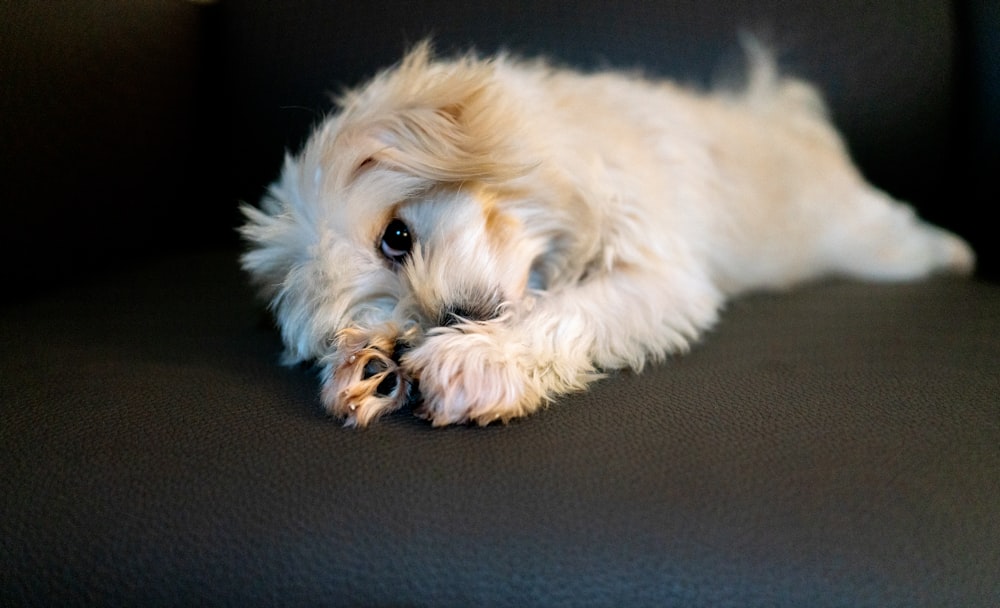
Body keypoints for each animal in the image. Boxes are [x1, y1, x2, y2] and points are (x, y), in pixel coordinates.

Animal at [238, 40, 972, 428]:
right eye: (387, 315)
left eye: (395, 236)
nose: (448, 319)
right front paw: (369, 365)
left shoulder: (656, 272)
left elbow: (566, 310)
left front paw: (476, 358)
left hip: (870, 240)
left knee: (909, 236)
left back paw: (956, 254)